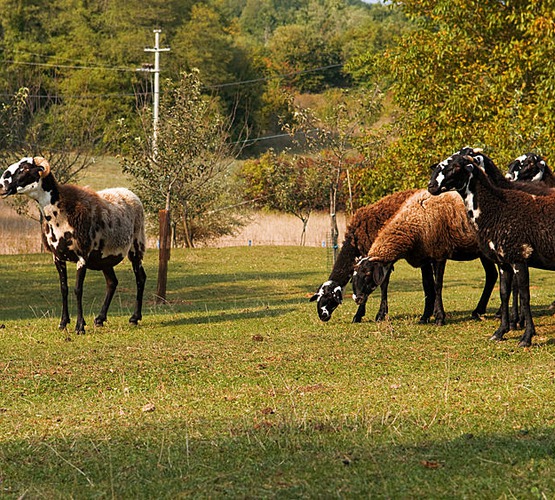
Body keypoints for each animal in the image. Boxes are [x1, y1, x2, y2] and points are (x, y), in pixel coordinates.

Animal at [0, 156, 147, 334]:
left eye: (25, 169)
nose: (2, 185)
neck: (58, 213)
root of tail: (129, 192)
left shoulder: (82, 256)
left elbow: (78, 290)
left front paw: (80, 326)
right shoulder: (57, 257)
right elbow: (64, 289)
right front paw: (63, 323)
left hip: (136, 245)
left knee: (140, 278)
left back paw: (134, 317)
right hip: (104, 257)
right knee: (112, 283)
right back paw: (100, 319)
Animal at [350, 188, 498, 324]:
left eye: (368, 273)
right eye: (353, 277)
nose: (357, 298)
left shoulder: (439, 254)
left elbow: (437, 285)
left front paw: (439, 317)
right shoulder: (425, 258)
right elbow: (427, 285)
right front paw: (425, 316)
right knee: (492, 275)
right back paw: (479, 311)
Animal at [430, 151, 555, 348]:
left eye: (455, 166)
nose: (431, 186)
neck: (496, 207)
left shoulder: (519, 256)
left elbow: (524, 296)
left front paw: (526, 336)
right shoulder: (504, 262)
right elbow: (504, 293)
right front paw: (501, 331)